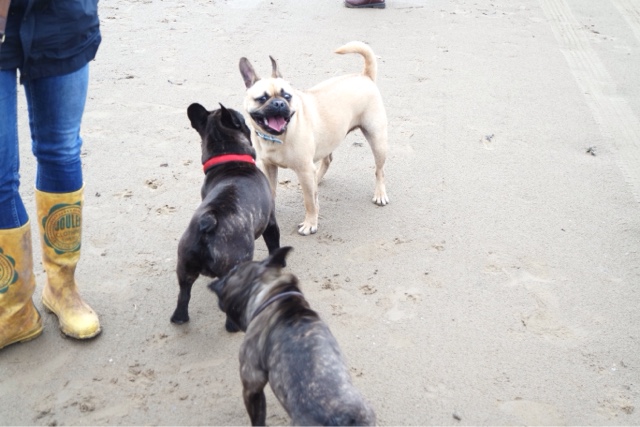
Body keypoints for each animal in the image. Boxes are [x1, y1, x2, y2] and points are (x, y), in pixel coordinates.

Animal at [170, 103, 281, 331]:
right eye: (242, 119)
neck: (229, 159)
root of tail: (208, 221)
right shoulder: (271, 222)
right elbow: (274, 243)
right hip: (237, 262)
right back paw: (234, 326)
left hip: (184, 265)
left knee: (183, 294)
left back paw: (179, 317)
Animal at [209, 246, 376, 426]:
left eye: (232, 271)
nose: (218, 280)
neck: (274, 295)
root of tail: (342, 417)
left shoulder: (251, 384)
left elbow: (258, 418)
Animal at [239, 41, 389, 236]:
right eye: (262, 98)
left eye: (287, 96)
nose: (279, 103)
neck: (278, 136)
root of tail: (365, 76)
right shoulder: (269, 167)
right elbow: (271, 191)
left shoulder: (303, 170)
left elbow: (309, 201)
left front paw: (310, 223)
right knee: (326, 161)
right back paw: (317, 178)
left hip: (377, 140)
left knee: (379, 171)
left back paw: (380, 194)